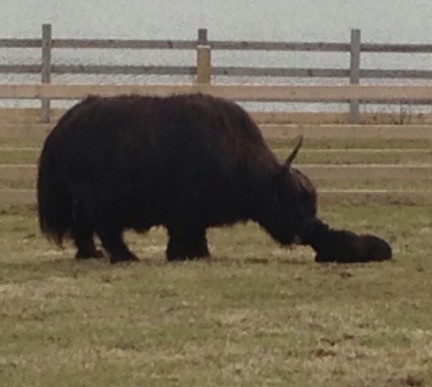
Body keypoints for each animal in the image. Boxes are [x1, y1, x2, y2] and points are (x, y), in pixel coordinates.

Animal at [37, 93, 318, 264]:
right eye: (292, 200)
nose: (306, 232)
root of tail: (63, 126)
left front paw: (199, 254)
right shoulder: (184, 211)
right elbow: (183, 233)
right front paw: (183, 255)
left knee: (84, 227)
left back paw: (91, 253)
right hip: (98, 201)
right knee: (106, 229)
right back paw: (125, 256)